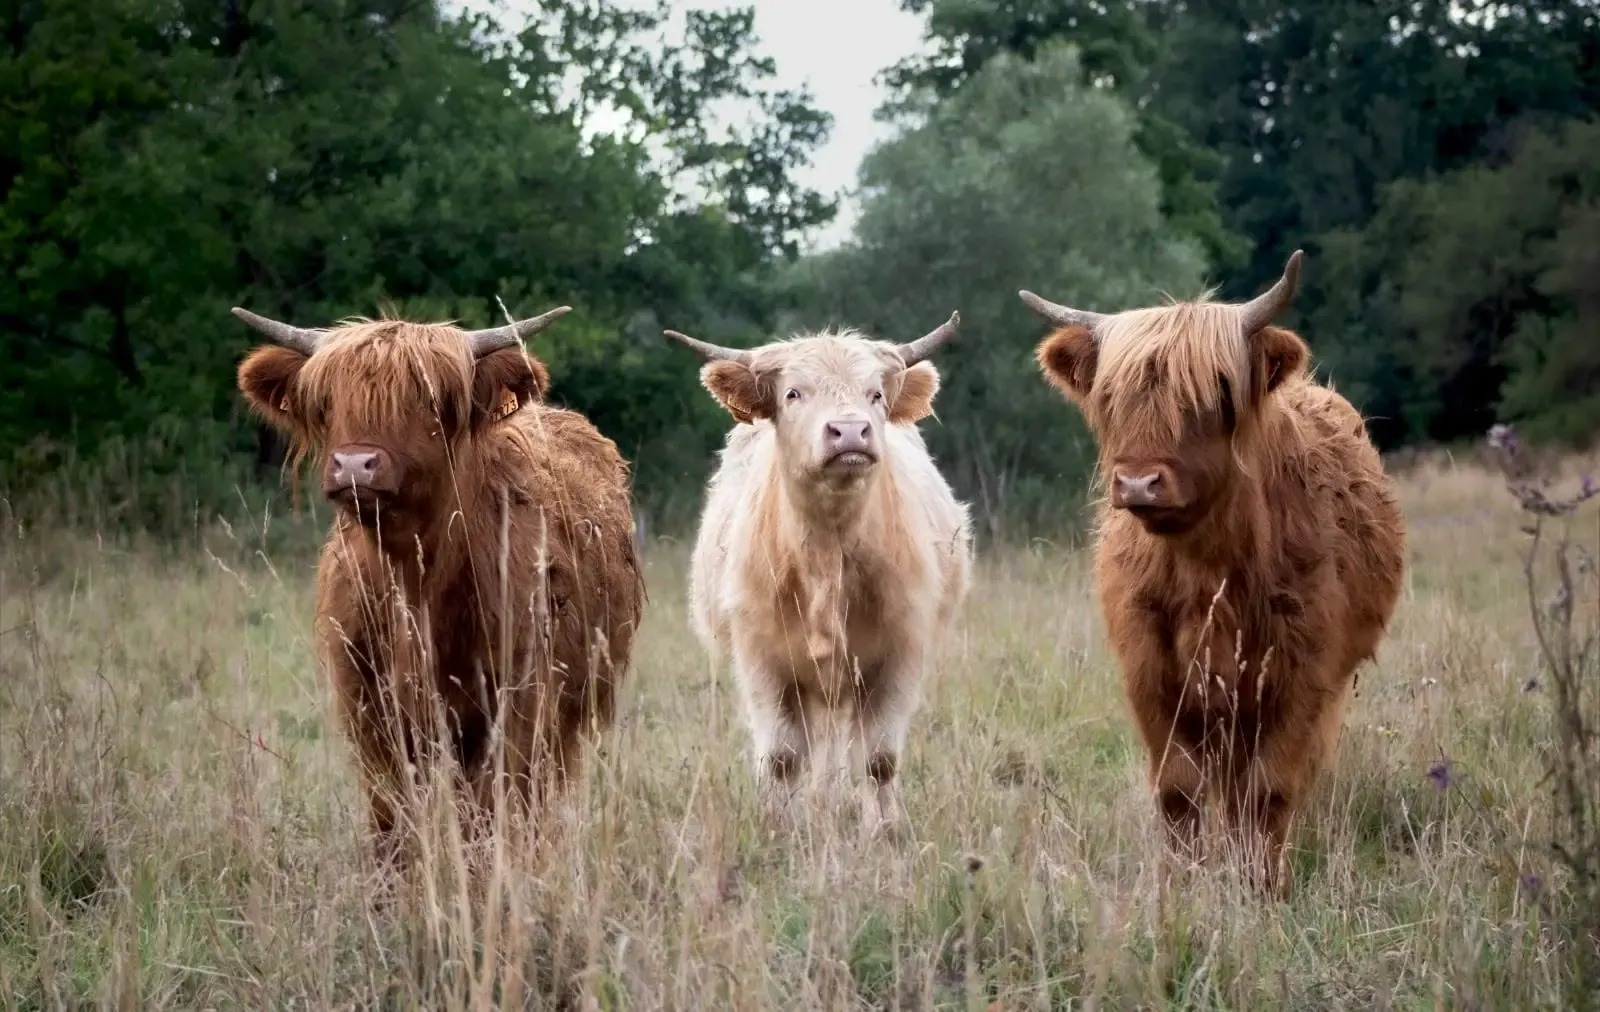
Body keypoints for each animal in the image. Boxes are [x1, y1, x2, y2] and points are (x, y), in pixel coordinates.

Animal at [232, 306, 644, 872]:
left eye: (426, 399)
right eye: (329, 400)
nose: (355, 465)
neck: (417, 583)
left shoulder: (517, 705)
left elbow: (491, 816)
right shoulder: (371, 713)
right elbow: (391, 822)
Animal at [663, 315, 974, 840]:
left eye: (875, 393)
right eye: (793, 393)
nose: (849, 431)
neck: (827, 556)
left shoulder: (898, 654)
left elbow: (878, 757)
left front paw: (883, 830)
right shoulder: (763, 660)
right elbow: (783, 756)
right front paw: (780, 829)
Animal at [1020, 251, 1406, 896]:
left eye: (1212, 394)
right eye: (1111, 397)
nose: (1138, 483)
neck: (1207, 569)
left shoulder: (1301, 672)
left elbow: (1268, 789)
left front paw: (1261, 888)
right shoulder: (1152, 672)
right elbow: (1179, 789)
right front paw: (1184, 885)